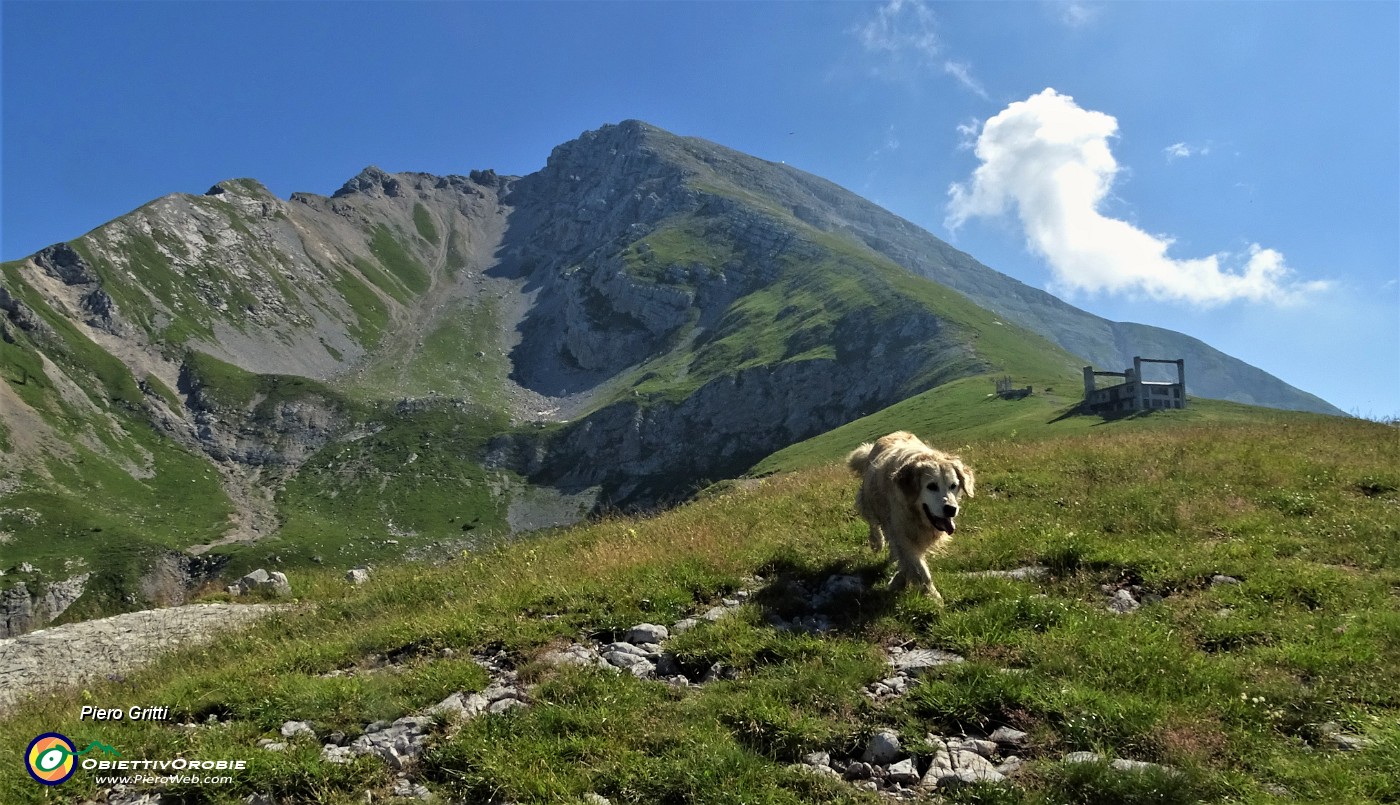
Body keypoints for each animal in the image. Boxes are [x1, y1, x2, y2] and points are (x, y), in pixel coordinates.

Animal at [845, 431, 980, 602]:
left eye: (953, 486)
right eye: (931, 486)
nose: (951, 509)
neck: (916, 514)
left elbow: (908, 563)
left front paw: (897, 581)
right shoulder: (902, 533)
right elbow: (920, 570)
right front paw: (935, 600)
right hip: (869, 501)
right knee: (874, 524)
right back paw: (877, 542)